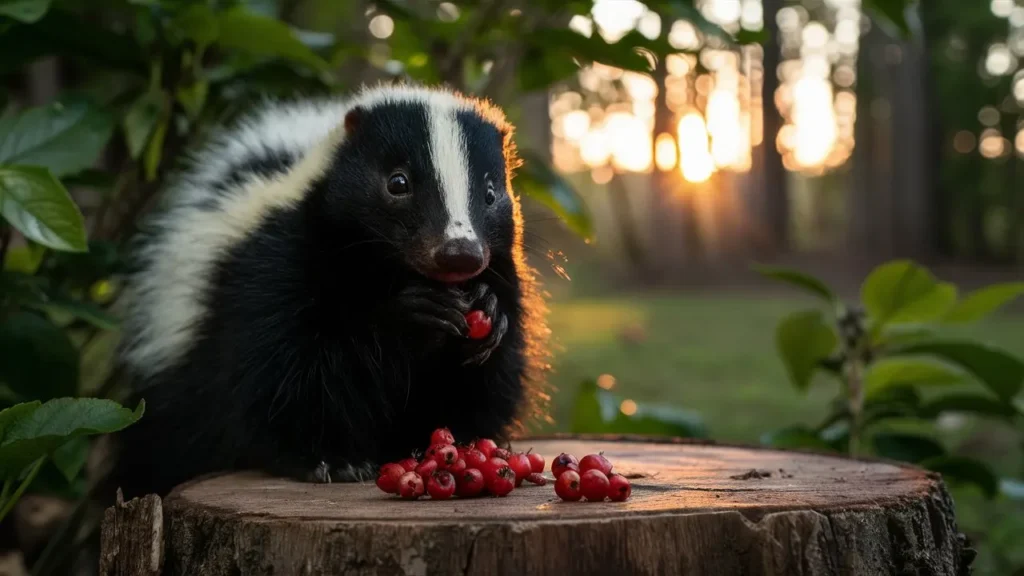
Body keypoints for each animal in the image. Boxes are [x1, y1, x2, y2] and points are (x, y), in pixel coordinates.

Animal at [107, 81, 548, 498]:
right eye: (397, 183)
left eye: (491, 193)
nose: (459, 252)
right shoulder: (275, 266)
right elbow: (294, 368)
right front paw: (331, 461)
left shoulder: (503, 268)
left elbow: (483, 382)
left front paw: (490, 314)